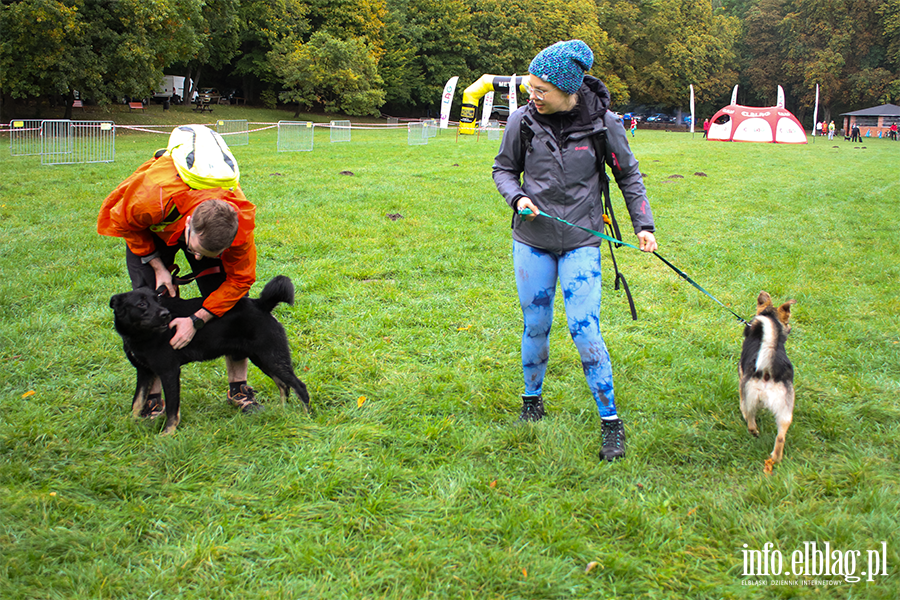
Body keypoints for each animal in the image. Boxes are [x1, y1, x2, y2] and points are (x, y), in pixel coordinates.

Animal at [110, 274, 310, 434]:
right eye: (142, 304)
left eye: (157, 300)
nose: (166, 314)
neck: (140, 334)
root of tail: (261, 304)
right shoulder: (145, 372)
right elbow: (137, 402)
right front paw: (128, 424)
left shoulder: (169, 372)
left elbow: (172, 409)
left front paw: (168, 433)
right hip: (263, 358)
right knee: (283, 385)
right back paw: (282, 411)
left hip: (272, 356)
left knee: (299, 386)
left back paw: (306, 416)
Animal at [740, 292, 800, 466]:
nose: (790, 328)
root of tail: (768, 370)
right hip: (786, 410)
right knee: (780, 437)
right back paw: (775, 458)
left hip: (748, 396)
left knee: (749, 418)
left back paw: (753, 430)